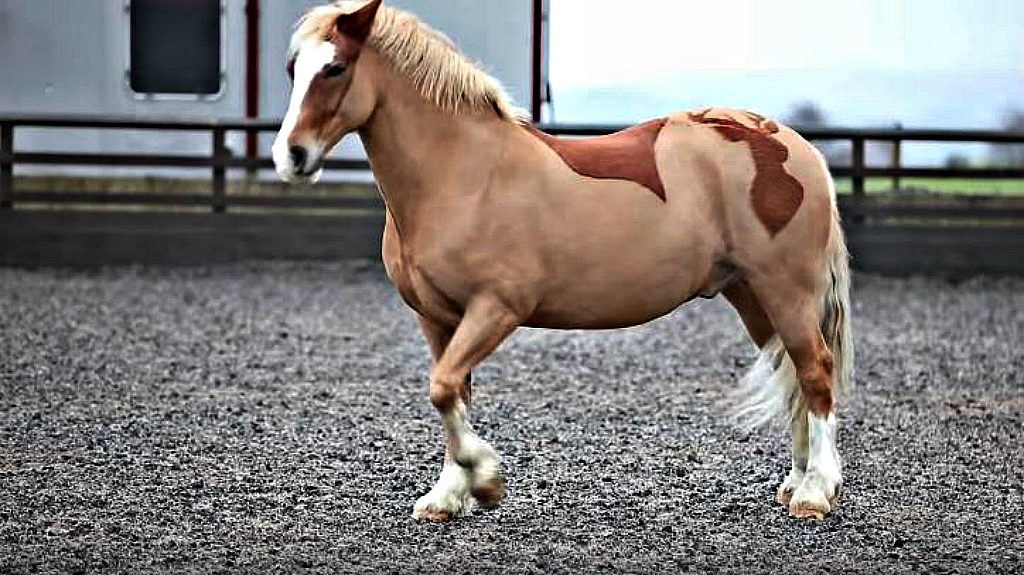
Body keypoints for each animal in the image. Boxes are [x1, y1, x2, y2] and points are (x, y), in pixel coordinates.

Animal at [273, 0, 853, 522]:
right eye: (292, 69)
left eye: (335, 68)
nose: (291, 157)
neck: (464, 174)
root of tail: (794, 146)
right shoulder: (437, 319)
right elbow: (451, 392)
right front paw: (447, 497)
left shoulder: (496, 309)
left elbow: (442, 389)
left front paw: (486, 479)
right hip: (751, 296)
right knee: (792, 376)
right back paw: (796, 481)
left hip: (786, 291)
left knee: (815, 372)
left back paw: (815, 493)